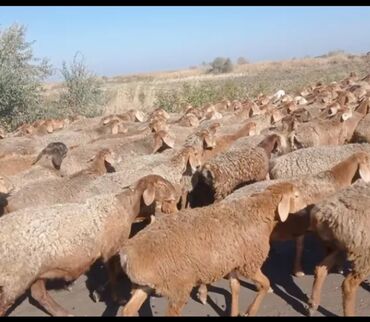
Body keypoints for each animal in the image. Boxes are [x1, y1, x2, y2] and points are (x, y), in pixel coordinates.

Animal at [0, 175, 180, 316]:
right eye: (162, 186)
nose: (176, 196)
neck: (125, 207)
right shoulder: (111, 248)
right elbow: (113, 273)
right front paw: (116, 297)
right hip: (15, 277)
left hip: (34, 272)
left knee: (38, 294)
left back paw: (64, 313)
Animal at [118, 182, 306, 316]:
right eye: (296, 196)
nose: (307, 209)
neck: (259, 212)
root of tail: (126, 254)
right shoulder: (250, 264)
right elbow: (266, 284)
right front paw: (250, 311)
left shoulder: (234, 262)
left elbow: (235, 288)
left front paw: (235, 312)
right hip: (178, 285)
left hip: (145, 285)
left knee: (128, 310)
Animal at [304, 179, 370, 316]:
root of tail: (324, 214)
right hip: (364, 252)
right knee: (348, 285)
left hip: (336, 245)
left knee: (320, 269)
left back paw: (312, 305)